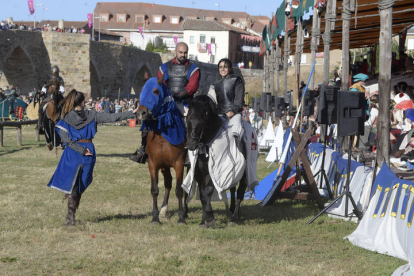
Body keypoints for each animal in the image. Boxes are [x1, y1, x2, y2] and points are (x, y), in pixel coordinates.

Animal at [136, 75, 188, 224]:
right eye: (141, 91)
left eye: (156, 91)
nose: (141, 113)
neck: (162, 136)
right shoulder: (153, 163)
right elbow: (155, 189)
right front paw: (155, 218)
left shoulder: (178, 163)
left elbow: (179, 190)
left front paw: (181, 218)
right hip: (165, 166)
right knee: (168, 183)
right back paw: (163, 210)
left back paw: (186, 212)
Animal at [187, 94, 247, 226]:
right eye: (187, 118)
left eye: (203, 120)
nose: (191, 145)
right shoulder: (199, 174)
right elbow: (203, 195)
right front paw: (203, 220)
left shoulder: (212, 172)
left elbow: (208, 191)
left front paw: (209, 218)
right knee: (233, 188)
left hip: (245, 171)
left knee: (241, 191)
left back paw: (234, 218)